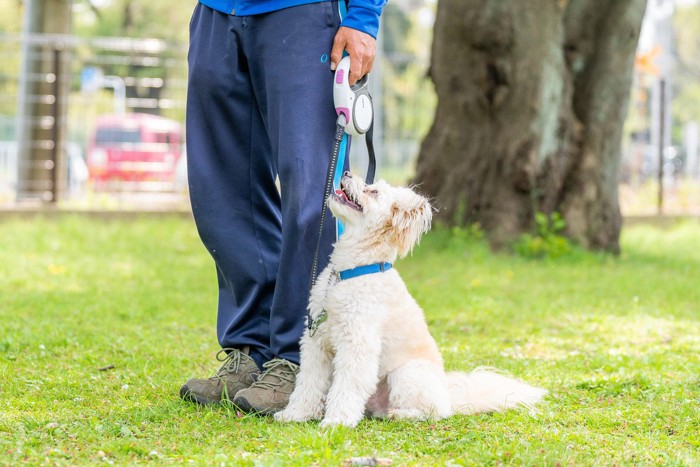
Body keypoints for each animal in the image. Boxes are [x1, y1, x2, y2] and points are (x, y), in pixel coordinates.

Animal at [274, 172, 548, 428]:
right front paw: (295, 414)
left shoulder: (357, 345)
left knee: (434, 412)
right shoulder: (316, 342)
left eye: (373, 191)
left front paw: (336, 422)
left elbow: (347, 386)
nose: (348, 173)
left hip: (407, 374)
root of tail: (448, 397)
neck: (351, 271)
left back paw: (401, 414)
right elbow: (308, 383)